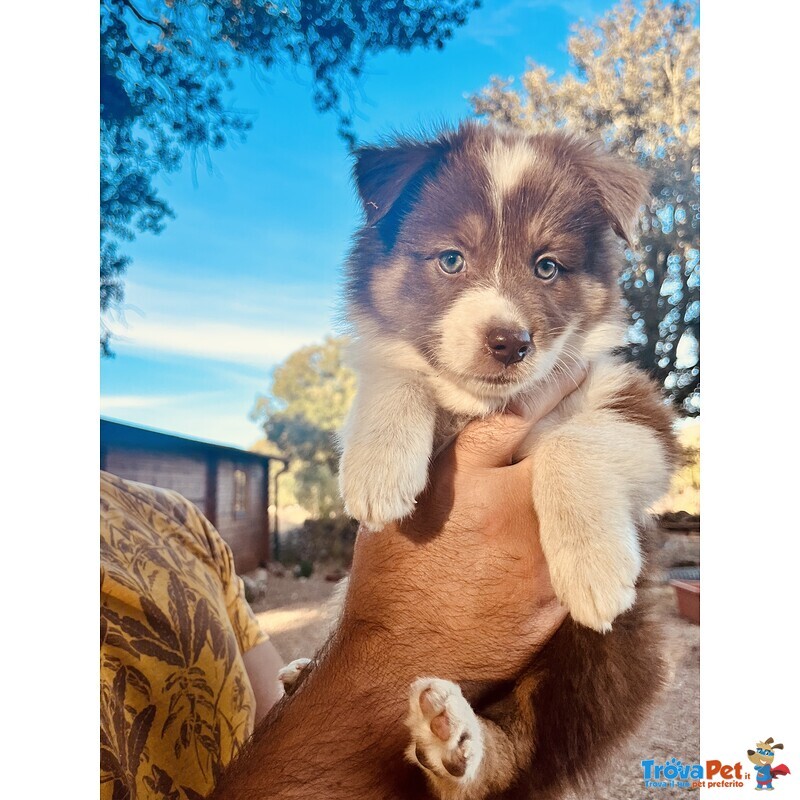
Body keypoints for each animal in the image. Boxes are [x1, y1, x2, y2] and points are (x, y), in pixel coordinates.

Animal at [284, 122, 680, 796]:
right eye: (451, 259)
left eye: (547, 266)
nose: (510, 342)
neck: (483, 408)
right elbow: (399, 370)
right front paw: (378, 468)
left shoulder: (640, 411)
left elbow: (572, 442)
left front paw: (594, 568)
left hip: (596, 665)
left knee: (522, 753)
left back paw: (457, 743)